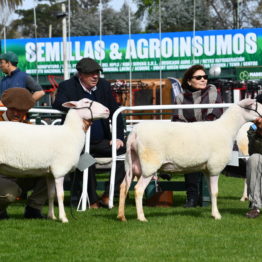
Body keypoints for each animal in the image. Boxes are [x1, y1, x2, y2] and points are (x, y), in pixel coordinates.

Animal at [117, 99, 262, 222]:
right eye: (257, 105)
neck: (227, 129)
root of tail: (134, 132)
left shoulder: (207, 170)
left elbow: (211, 192)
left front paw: (213, 213)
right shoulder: (215, 167)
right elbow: (215, 192)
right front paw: (217, 216)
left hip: (131, 163)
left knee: (123, 186)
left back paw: (121, 216)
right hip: (149, 165)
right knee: (138, 189)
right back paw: (141, 218)